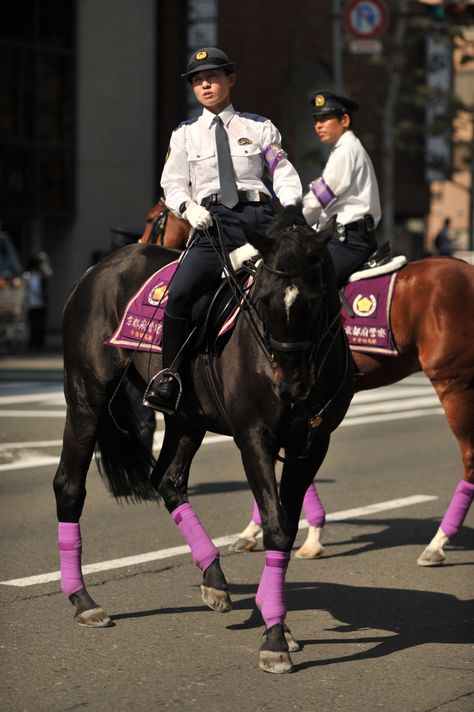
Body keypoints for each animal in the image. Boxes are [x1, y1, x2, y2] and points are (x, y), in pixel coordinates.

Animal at [53, 204, 354, 672]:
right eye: (262, 299)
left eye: (315, 297)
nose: (289, 385)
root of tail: (98, 268)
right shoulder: (254, 437)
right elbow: (275, 527)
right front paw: (275, 637)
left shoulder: (311, 446)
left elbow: (286, 525)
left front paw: (276, 621)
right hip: (87, 396)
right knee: (69, 485)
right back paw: (83, 600)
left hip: (186, 418)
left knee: (168, 481)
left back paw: (214, 576)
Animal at [147, 206, 474, 568]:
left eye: (153, 219)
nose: (143, 242)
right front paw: (290, 532)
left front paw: (292, 533)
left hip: (453, 382)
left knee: (470, 459)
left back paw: (437, 543)